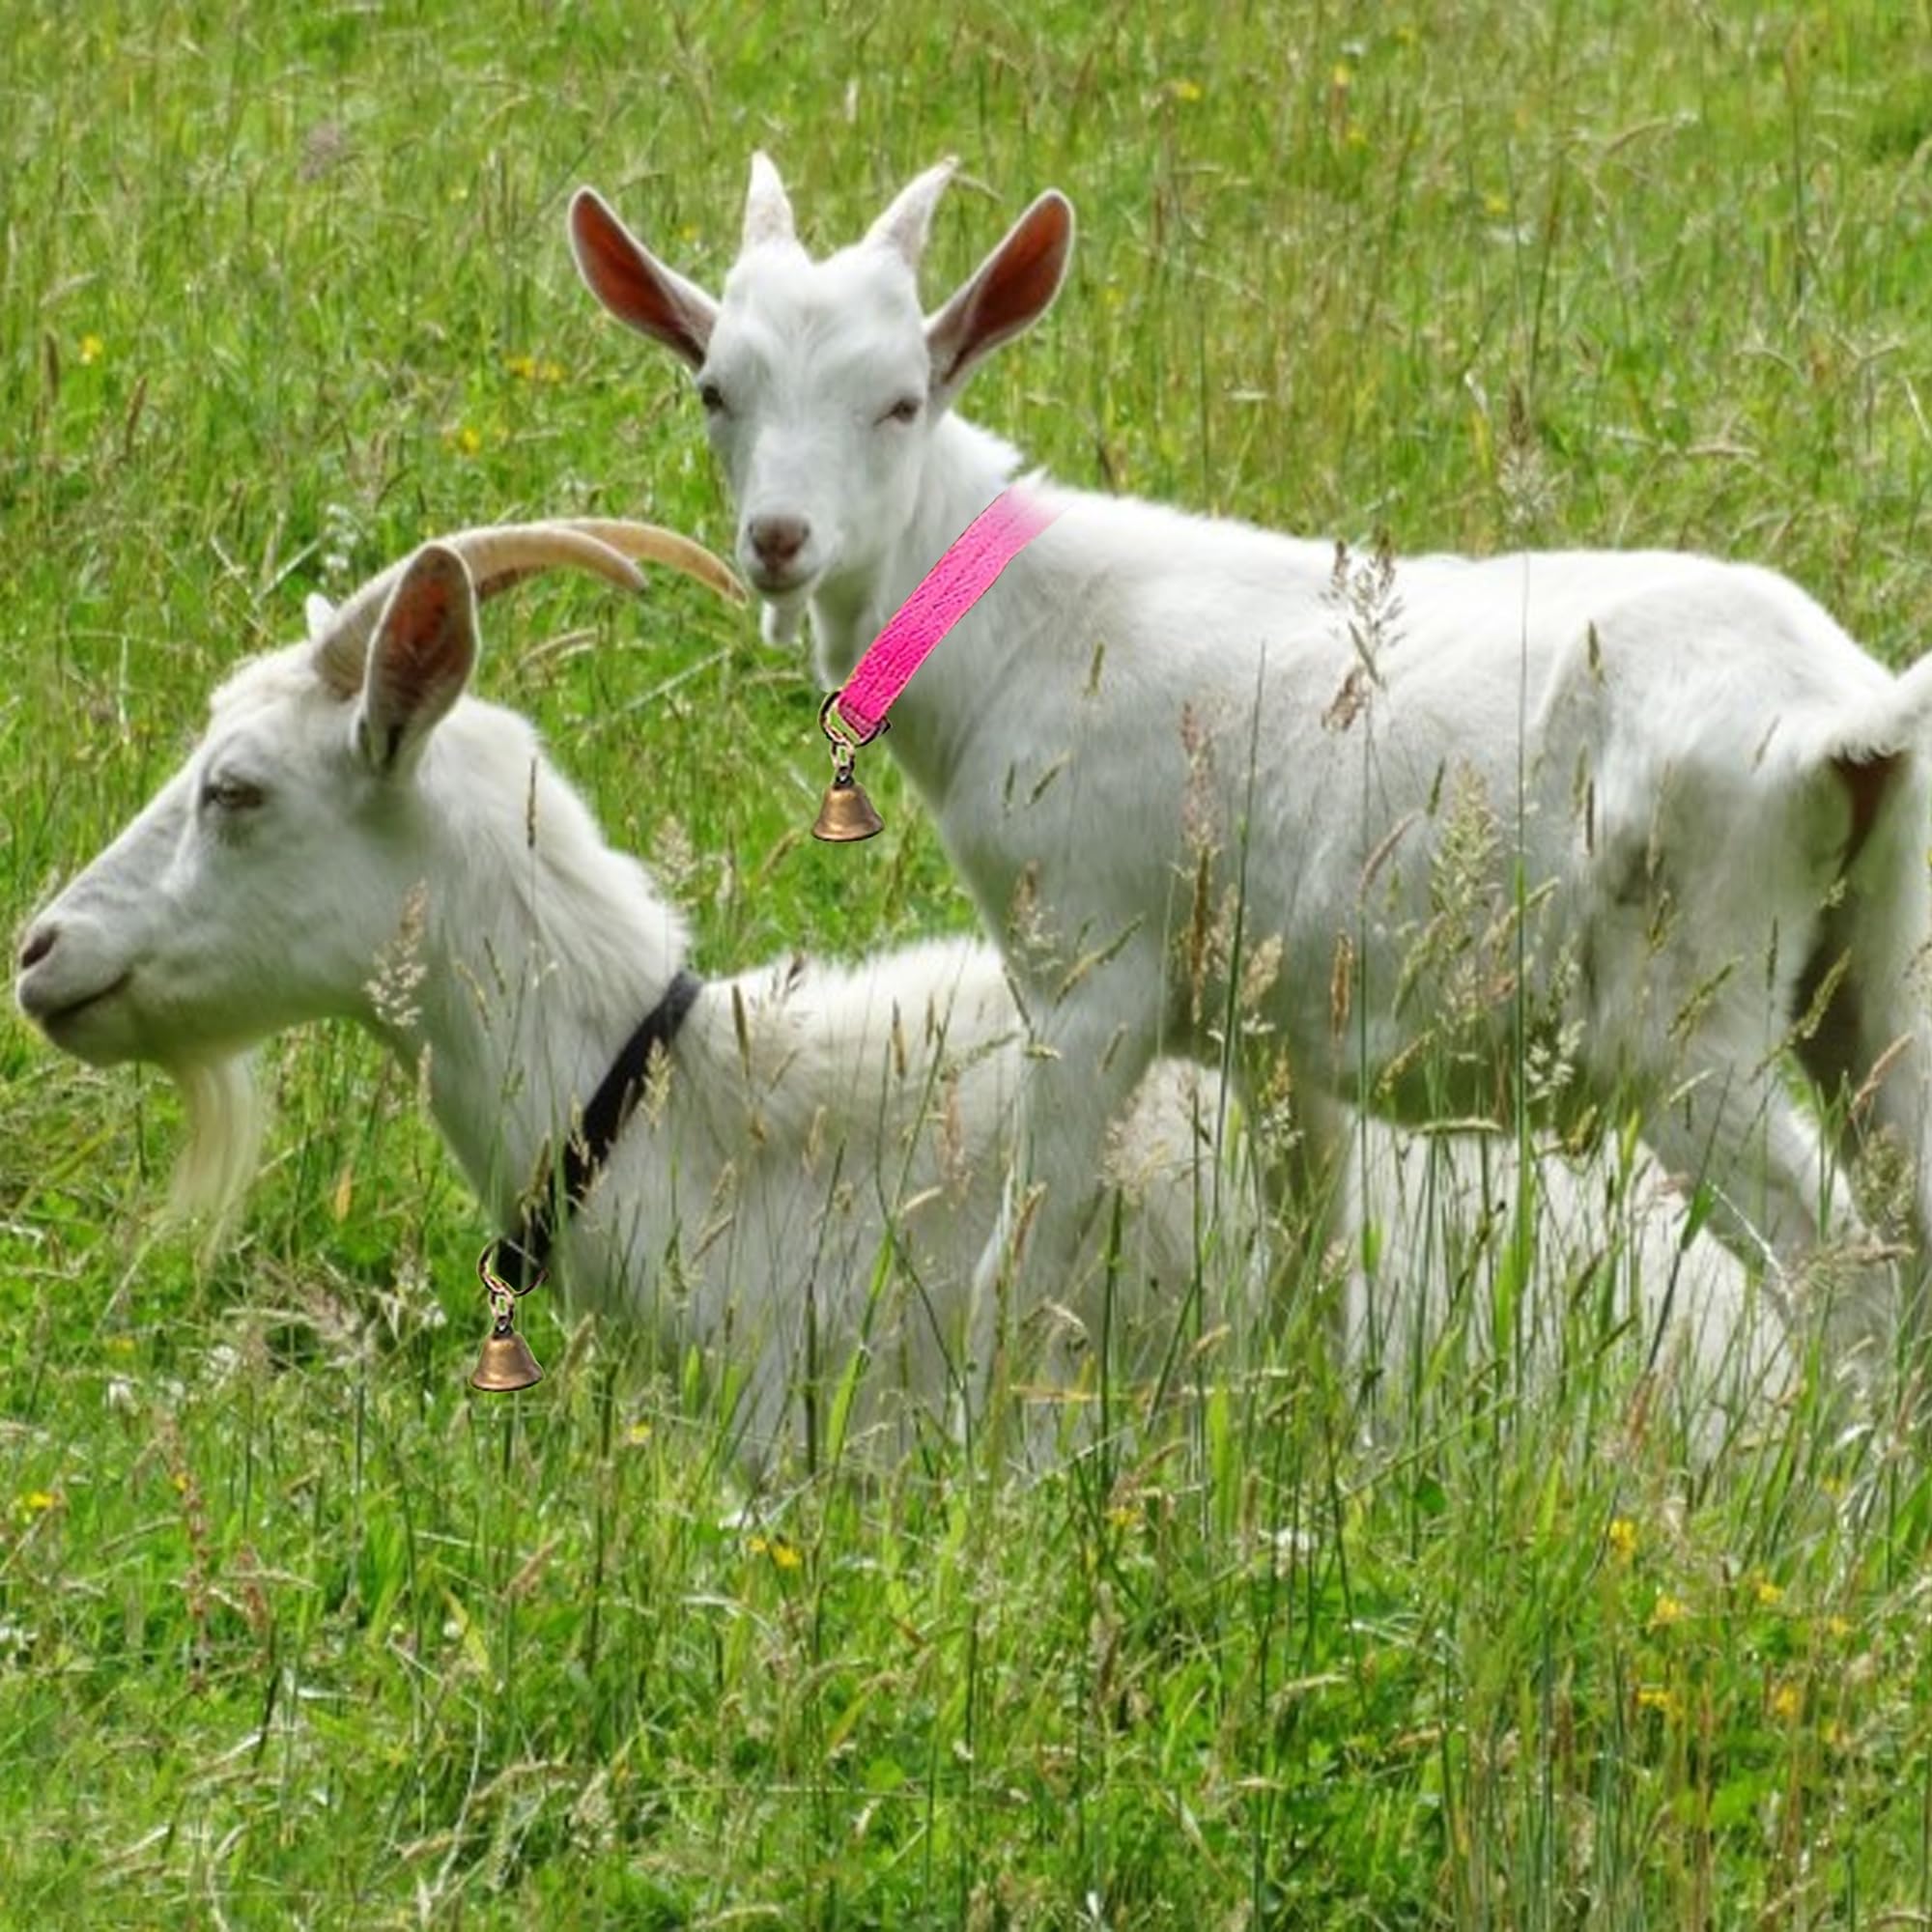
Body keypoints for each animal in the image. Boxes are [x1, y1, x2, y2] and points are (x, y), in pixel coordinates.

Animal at [569, 156, 1932, 1375]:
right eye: (714, 389)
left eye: (900, 400)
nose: (777, 539)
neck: (1018, 628)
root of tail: (1841, 711)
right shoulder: (1277, 1032)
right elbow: (1309, 1268)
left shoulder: (1091, 975)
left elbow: (1019, 1266)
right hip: (1873, 975)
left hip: (1685, 1012)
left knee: (1846, 1287)